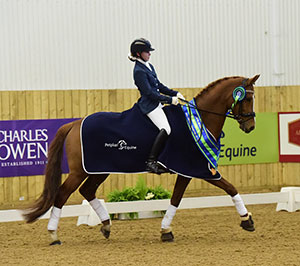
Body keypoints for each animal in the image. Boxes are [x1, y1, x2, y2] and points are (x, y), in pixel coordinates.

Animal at [22, 74, 258, 244]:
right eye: (246, 98)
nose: (250, 127)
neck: (200, 120)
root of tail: (75, 123)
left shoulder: (187, 171)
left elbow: (176, 199)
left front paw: (165, 231)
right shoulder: (197, 168)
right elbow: (230, 188)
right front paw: (247, 220)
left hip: (100, 169)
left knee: (87, 190)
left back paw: (106, 225)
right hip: (80, 171)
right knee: (62, 195)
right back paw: (54, 235)